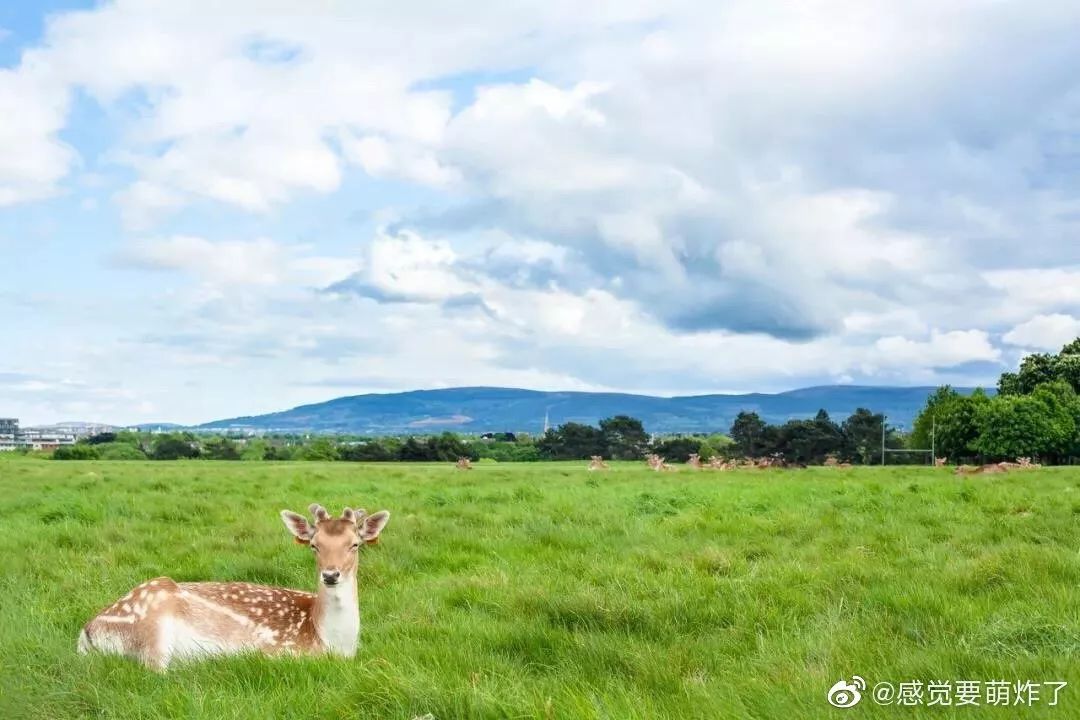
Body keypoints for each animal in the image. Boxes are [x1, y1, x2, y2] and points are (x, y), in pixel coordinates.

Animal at [78, 505, 393, 673]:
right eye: (314, 545)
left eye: (355, 544)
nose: (330, 575)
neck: (331, 641)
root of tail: (87, 631)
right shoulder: (279, 650)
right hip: (152, 630)